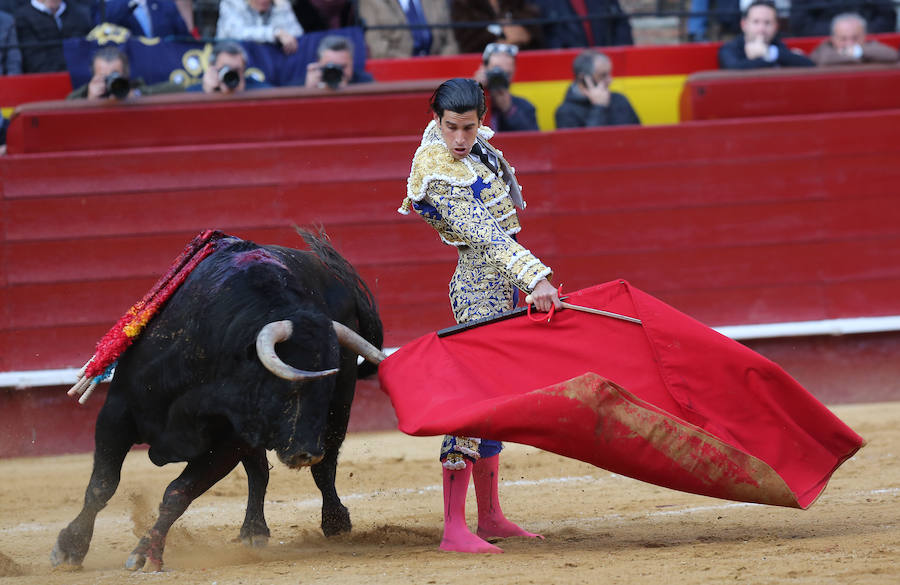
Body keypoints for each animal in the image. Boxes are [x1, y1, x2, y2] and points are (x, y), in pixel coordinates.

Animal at [51, 229, 384, 572]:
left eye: (325, 389)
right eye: (289, 387)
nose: (306, 453)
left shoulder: (226, 444)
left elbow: (177, 493)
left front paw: (146, 553)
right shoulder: (116, 416)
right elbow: (102, 484)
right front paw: (70, 547)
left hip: (336, 413)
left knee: (322, 468)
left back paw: (333, 522)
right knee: (262, 470)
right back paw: (254, 530)